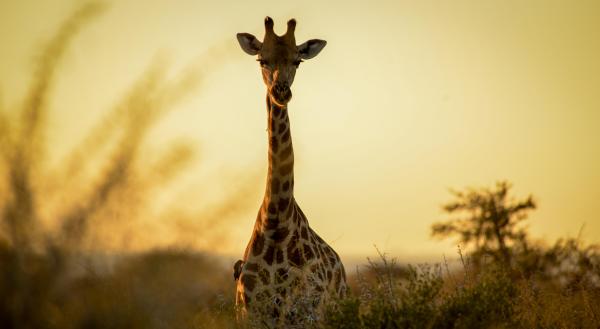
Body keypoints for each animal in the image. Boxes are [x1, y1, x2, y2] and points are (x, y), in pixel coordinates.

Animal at [234, 17, 346, 322]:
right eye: (261, 59)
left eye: (298, 61)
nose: (281, 91)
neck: (276, 221)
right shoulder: (251, 312)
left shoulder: (307, 311)